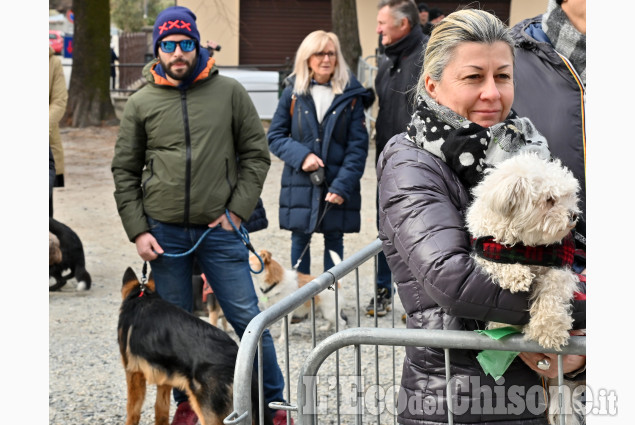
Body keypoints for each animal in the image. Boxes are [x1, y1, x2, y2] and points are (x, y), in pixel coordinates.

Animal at [117, 268, 270, 424]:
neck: (142, 297)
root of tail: (235, 354)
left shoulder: (133, 374)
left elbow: (133, 410)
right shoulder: (164, 379)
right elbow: (161, 409)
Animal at [468, 154, 580, 350]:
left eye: (569, 196)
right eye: (550, 199)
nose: (574, 215)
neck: (527, 246)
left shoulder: (560, 269)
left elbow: (552, 293)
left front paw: (549, 330)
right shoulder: (483, 247)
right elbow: (494, 261)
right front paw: (517, 276)